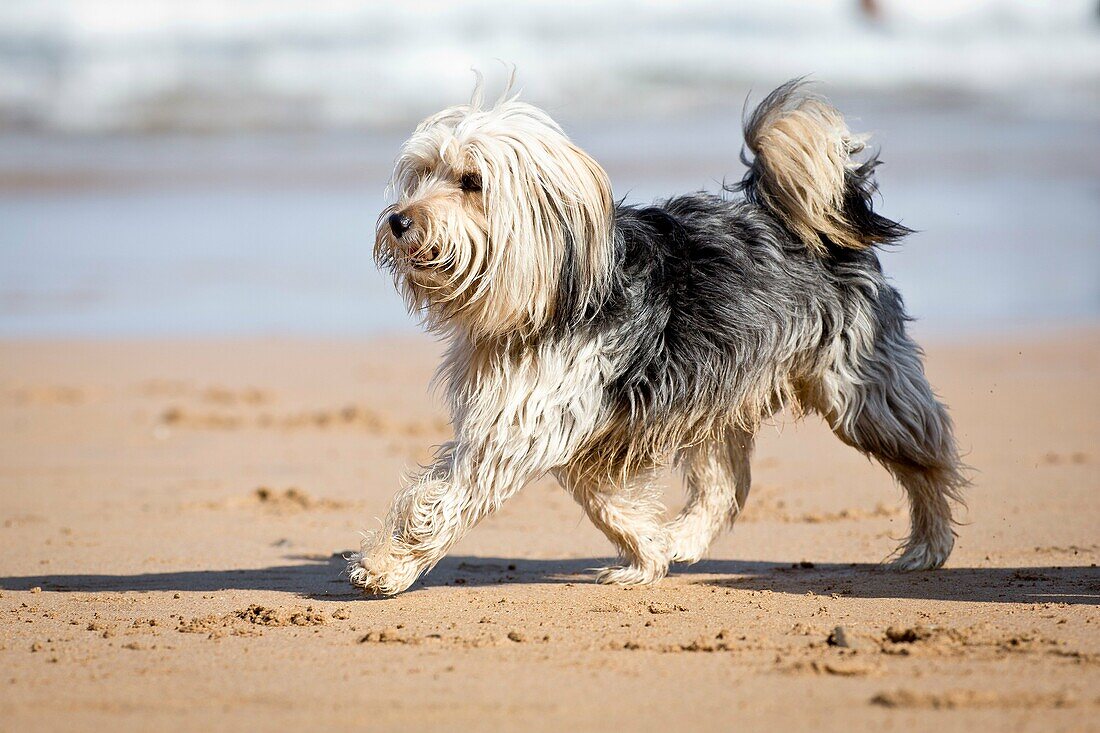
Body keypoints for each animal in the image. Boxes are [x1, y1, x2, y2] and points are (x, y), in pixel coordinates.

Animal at [347, 75, 968, 594]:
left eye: (472, 181)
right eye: (422, 173)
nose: (398, 220)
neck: (553, 291)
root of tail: (810, 223)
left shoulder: (519, 430)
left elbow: (442, 503)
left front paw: (387, 567)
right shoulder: (570, 430)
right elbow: (608, 504)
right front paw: (647, 556)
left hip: (858, 390)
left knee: (929, 458)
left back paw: (928, 545)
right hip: (717, 393)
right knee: (725, 487)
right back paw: (681, 540)